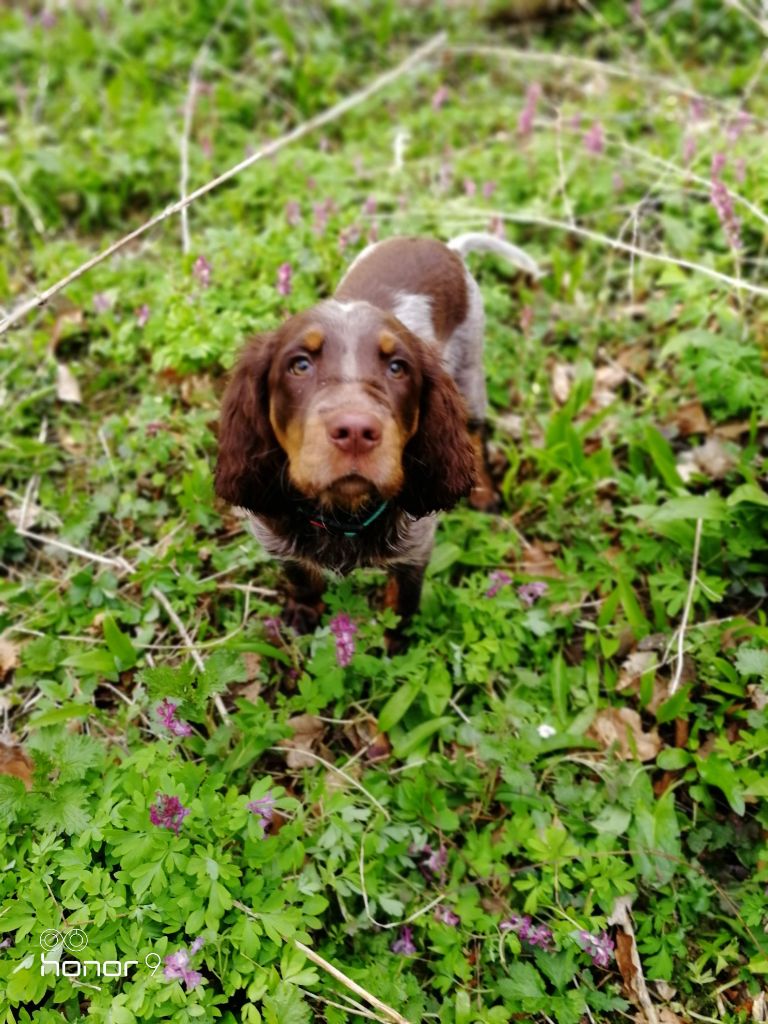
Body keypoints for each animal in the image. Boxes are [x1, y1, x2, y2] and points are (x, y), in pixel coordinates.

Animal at [215, 232, 540, 638]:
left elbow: (402, 601)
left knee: (476, 436)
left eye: (398, 368)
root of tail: (443, 246)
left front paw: (397, 642)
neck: (344, 515)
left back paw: (483, 492)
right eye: (299, 365)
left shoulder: (415, 548)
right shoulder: (276, 536)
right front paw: (304, 612)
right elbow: (302, 578)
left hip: (470, 373)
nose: (356, 431)